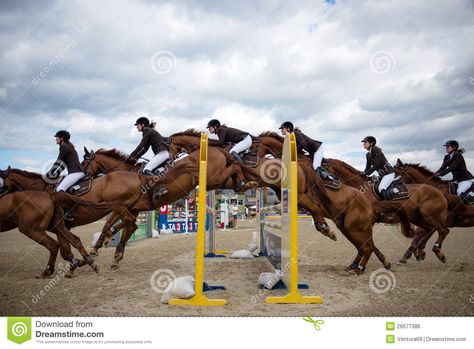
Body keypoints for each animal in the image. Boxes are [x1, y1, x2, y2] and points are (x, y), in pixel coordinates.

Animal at [322, 156, 452, 262]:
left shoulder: (367, 223)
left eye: (323, 169)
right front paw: (382, 261)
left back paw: (438, 253)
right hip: (418, 218)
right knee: (429, 230)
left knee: (443, 230)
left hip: (429, 216)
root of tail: (440, 192)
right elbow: (369, 244)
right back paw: (419, 252)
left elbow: (368, 243)